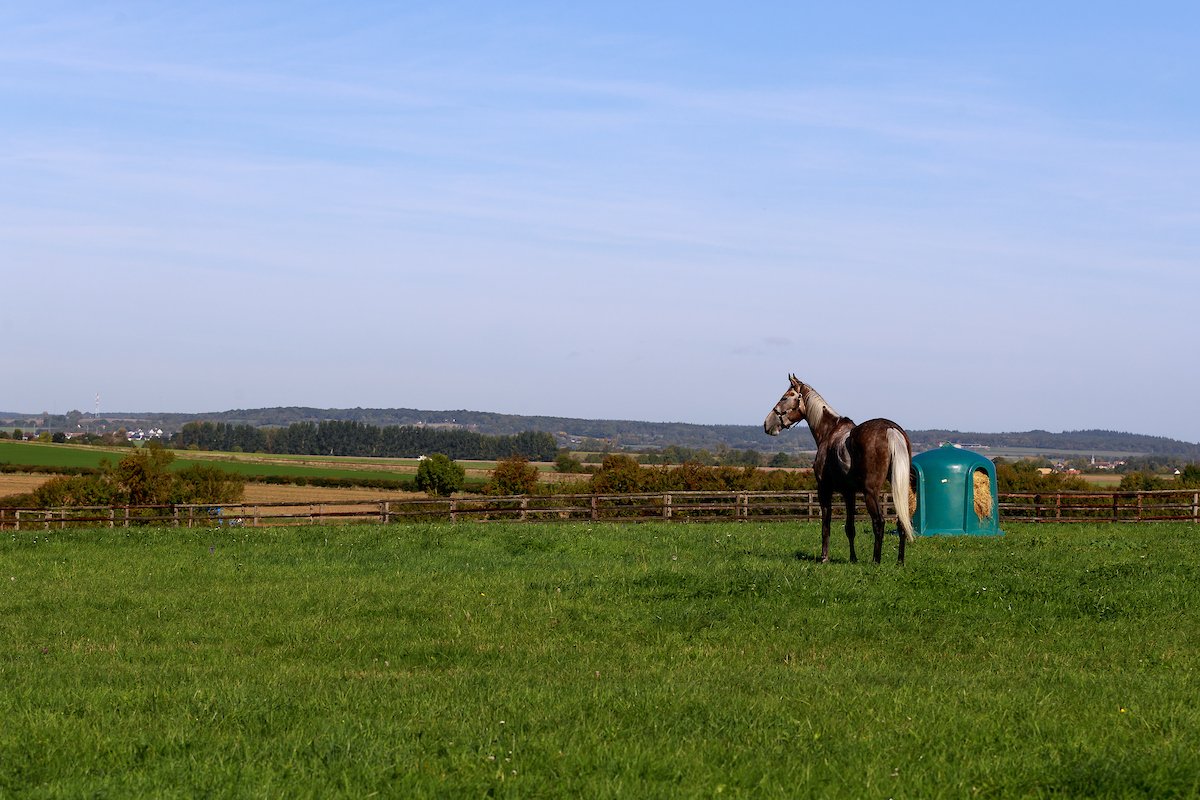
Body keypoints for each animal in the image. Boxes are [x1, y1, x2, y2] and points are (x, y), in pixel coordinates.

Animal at [763, 374, 915, 564]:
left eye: (784, 398)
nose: (767, 423)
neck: (829, 431)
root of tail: (891, 429)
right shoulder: (849, 492)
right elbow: (850, 528)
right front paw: (853, 558)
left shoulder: (824, 490)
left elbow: (826, 525)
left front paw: (824, 557)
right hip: (898, 487)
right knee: (902, 522)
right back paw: (900, 561)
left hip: (871, 492)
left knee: (879, 522)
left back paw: (876, 561)